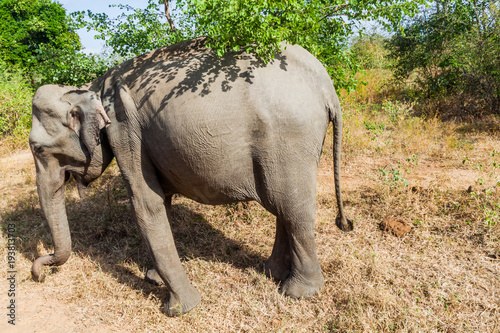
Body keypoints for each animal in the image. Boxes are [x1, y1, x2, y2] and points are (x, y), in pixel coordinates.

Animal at [29, 37, 354, 316]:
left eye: (37, 148)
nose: (39, 274)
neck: (92, 87)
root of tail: (325, 84)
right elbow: (162, 200)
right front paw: (153, 279)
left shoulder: (125, 130)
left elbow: (145, 204)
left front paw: (179, 308)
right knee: (283, 205)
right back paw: (270, 272)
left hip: (290, 136)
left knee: (292, 207)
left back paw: (298, 292)